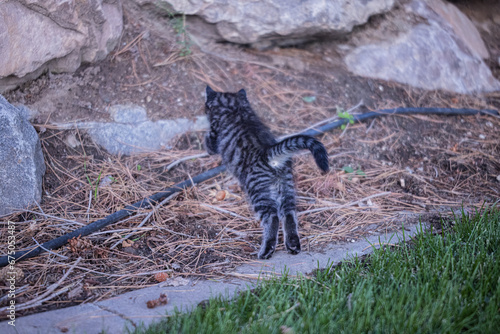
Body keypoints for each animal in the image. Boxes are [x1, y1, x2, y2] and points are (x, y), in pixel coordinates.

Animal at [203, 85, 328, 258]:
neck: (235, 108)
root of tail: (268, 152)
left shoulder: (214, 132)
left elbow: (209, 142)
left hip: (259, 192)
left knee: (273, 218)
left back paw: (266, 250)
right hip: (286, 187)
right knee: (289, 215)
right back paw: (292, 245)